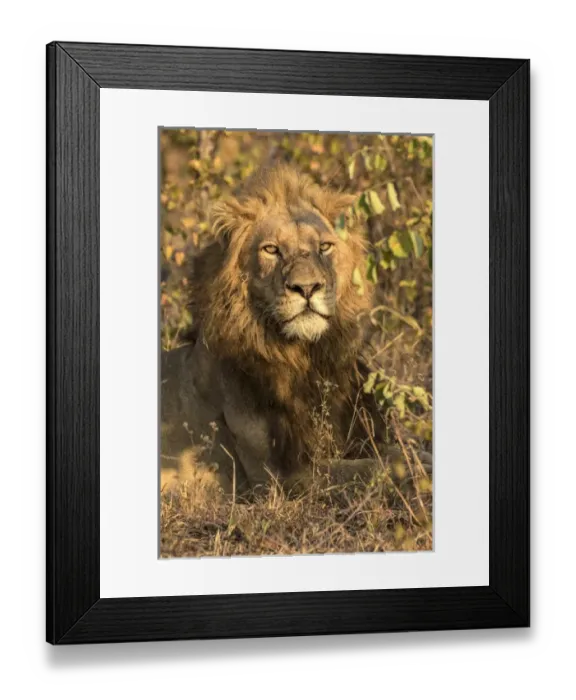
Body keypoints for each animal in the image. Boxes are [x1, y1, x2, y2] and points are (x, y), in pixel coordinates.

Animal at [160, 165, 427, 497]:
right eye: (271, 250)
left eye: (324, 247)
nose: (307, 287)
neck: (305, 358)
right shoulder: (278, 478)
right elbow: (366, 469)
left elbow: (395, 451)